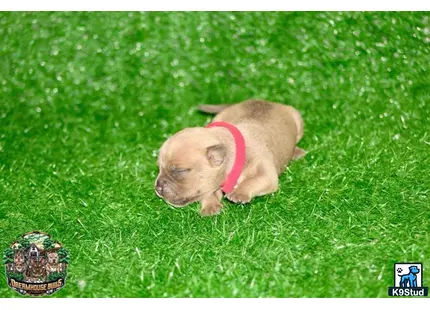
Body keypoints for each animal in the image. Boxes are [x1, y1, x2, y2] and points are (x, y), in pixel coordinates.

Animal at [155, 99, 306, 216]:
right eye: (159, 168)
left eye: (180, 171)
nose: (157, 187)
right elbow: (209, 193)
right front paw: (210, 206)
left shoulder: (267, 175)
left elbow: (253, 181)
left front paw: (239, 192)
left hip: (297, 119)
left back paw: (296, 152)